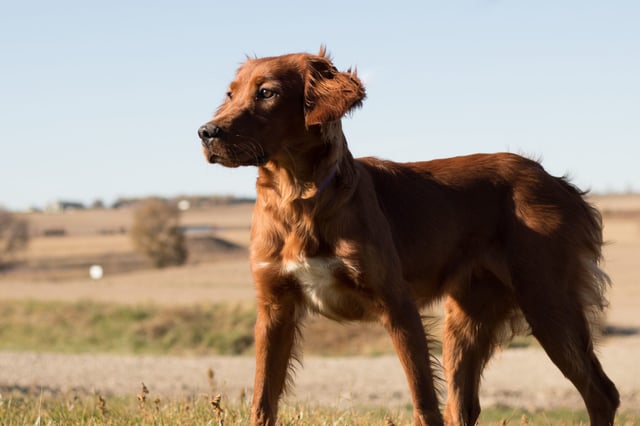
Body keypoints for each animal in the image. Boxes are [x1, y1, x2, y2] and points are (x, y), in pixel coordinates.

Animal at [198, 48, 616, 424]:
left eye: (267, 93)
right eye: (231, 94)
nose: (206, 132)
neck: (300, 198)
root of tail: (556, 181)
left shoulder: (397, 305)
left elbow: (423, 402)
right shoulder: (274, 308)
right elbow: (263, 400)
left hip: (548, 302)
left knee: (602, 393)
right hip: (467, 319)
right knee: (463, 406)